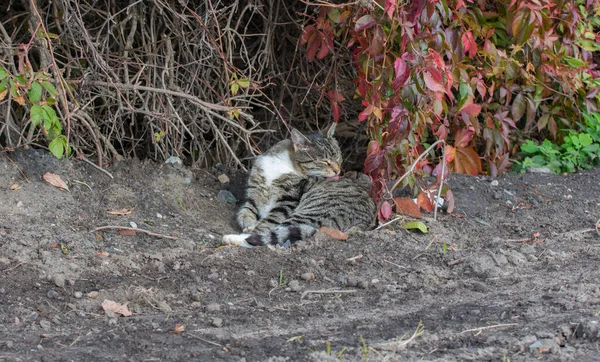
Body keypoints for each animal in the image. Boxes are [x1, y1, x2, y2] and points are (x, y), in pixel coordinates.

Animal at [224, 123, 376, 247]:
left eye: (338, 157)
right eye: (324, 161)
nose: (337, 170)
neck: (286, 163)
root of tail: (365, 224)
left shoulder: (287, 201)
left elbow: (268, 222)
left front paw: (253, 228)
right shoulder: (254, 194)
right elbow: (246, 211)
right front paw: (248, 223)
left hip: (312, 212)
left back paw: (233, 238)